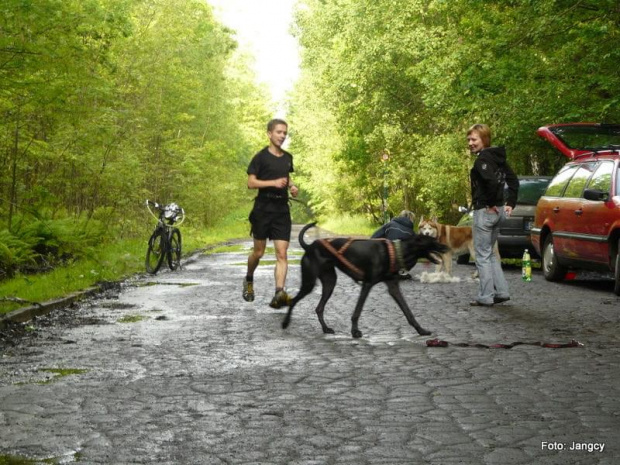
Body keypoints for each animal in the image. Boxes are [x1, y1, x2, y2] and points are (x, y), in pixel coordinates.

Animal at [282, 222, 450, 338]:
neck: (396, 252)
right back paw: (285, 323)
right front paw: (355, 331)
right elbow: (357, 311)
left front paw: (421, 330)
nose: (446, 247)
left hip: (330, 282)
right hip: (309, 282)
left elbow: (408, 312)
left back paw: (325, 329)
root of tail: (310, 245)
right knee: (294, 300)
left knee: (319, 308)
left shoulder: (393, 287)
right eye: (433, 242)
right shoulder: (367, 284)